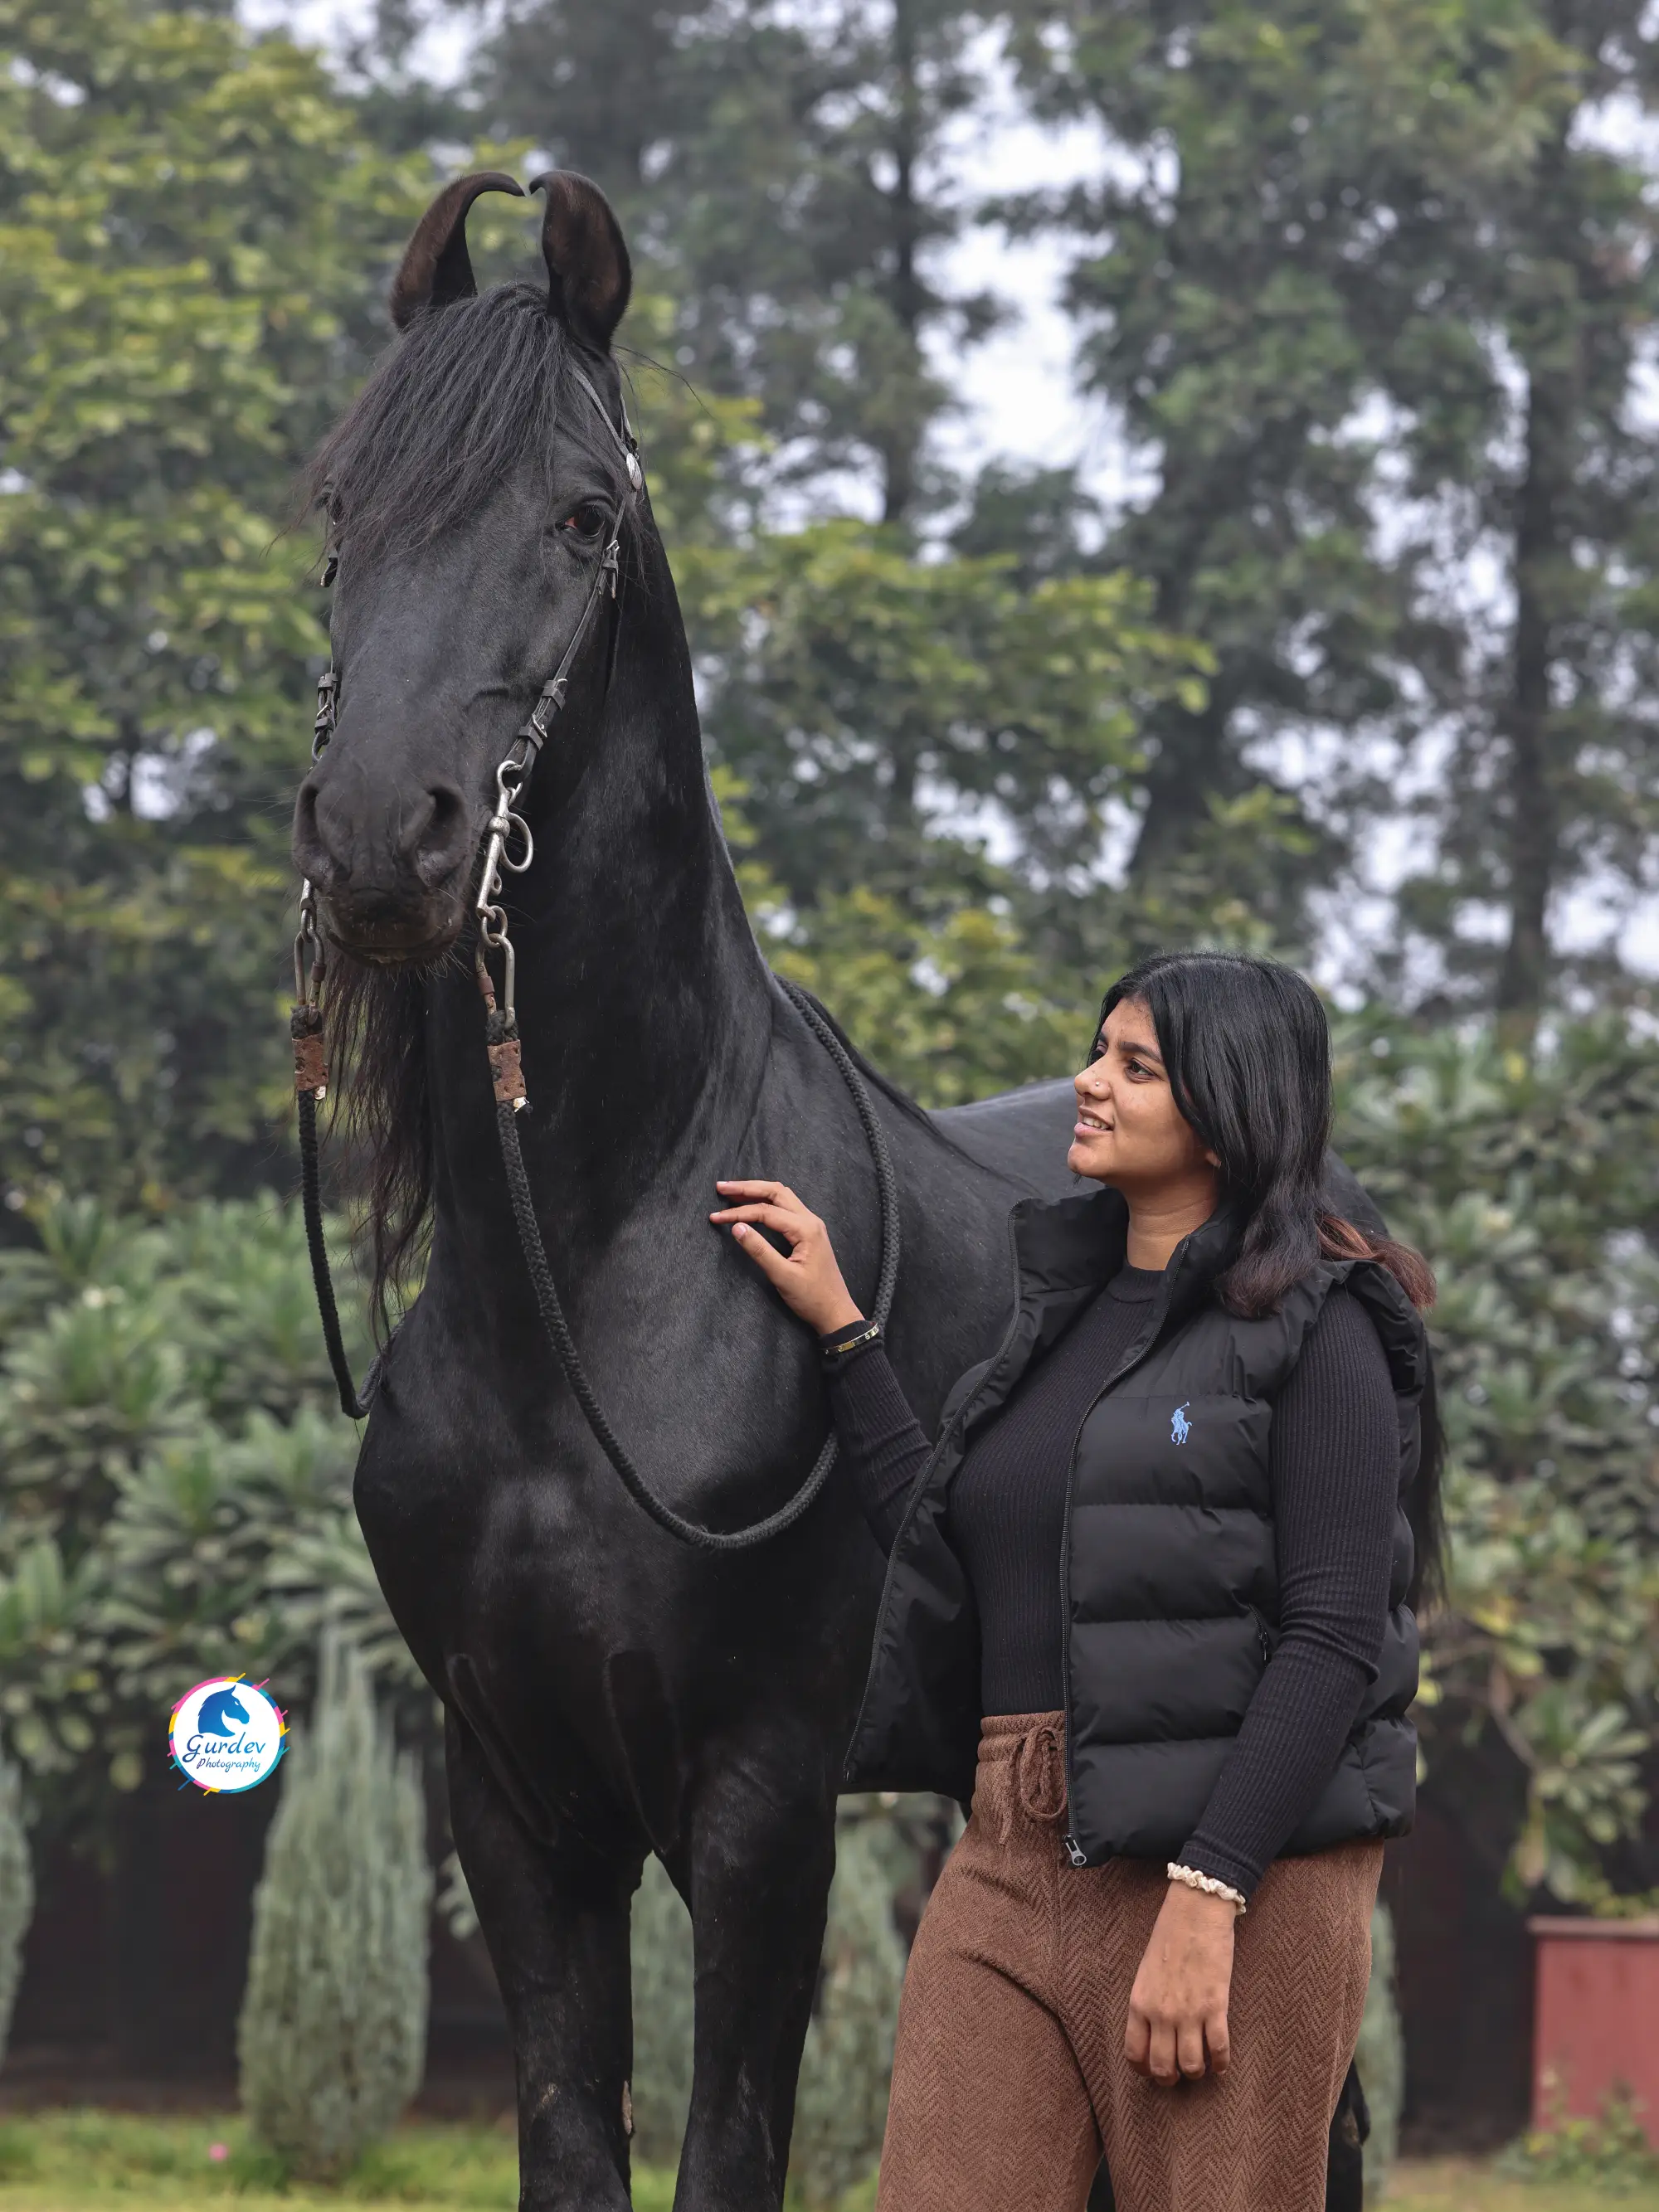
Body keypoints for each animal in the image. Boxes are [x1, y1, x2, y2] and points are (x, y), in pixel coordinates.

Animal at [292, 169, 1382, 2211]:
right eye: (341, 510)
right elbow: (572, 2138)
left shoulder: (758, 1798)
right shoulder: (516, 1795)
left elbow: (728, 2146)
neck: (590, 1277)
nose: (384, 837)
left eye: (580, 516)